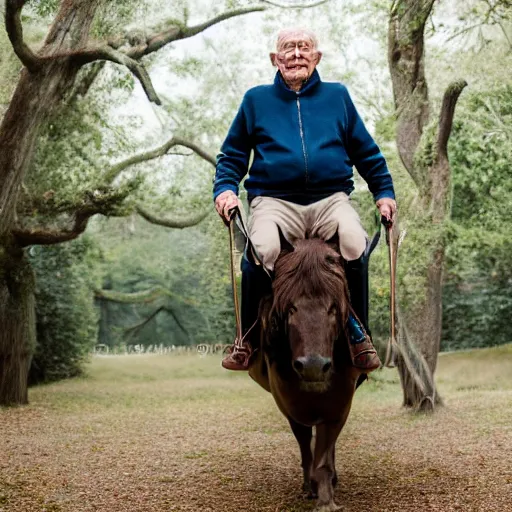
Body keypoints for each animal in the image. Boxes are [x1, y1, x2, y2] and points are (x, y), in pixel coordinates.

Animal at [249, 240, 364, 512]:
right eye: (291, 309)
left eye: (333, 309)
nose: (313, 365)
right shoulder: (291, 408)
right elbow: (306, 448)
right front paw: (309, 487)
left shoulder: (338, 408)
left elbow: (324, 455)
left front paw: (326, 499)